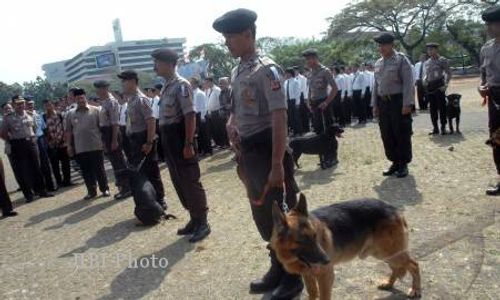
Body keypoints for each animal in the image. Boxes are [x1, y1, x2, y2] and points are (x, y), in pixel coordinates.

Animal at [272, 193, 420, 298]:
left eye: (315, 236)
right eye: (302, 241)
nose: (327, 260)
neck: (294, 257)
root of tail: (395, 209)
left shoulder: (325, 276)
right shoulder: (308, 276)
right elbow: (313, 293)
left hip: (389, 252)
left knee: (414, 264)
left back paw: (415, 290)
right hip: (384, 253)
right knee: (397, 268)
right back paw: (389, 283)